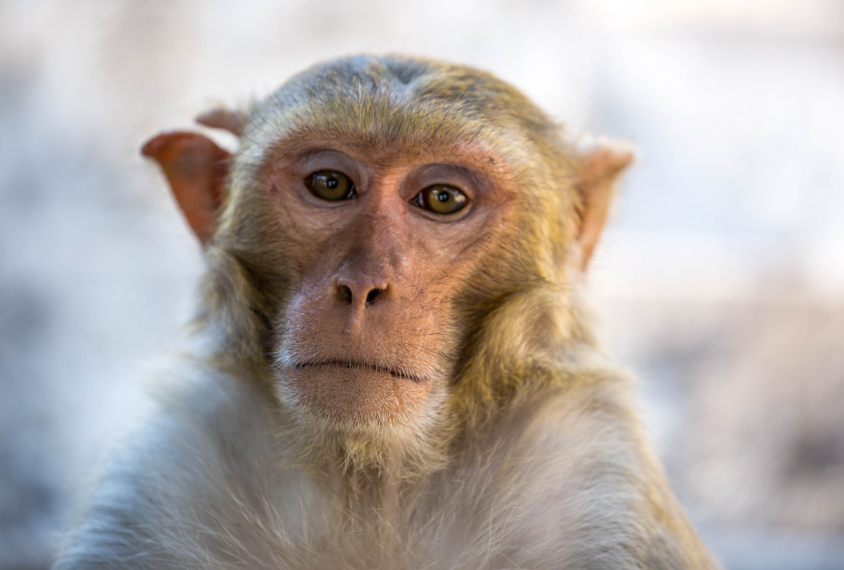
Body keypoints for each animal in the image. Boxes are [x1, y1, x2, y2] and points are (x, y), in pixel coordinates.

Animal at [56, 54, 724, 568]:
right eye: (329, 184)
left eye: (443, 199)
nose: (362, 286)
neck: (368, 479)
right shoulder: (161, 473)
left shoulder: (594, 479)